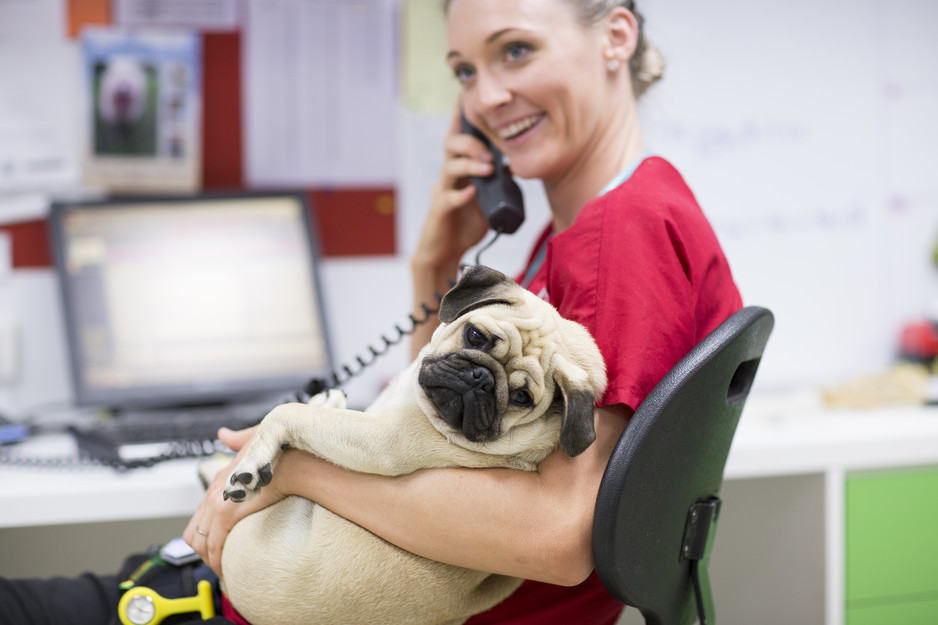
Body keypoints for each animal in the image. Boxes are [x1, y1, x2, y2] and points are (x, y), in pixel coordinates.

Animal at [219, 266, 608, 624]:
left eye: (522, 398)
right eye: (475, 336)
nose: (480, 377)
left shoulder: (382, 438)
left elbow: (285, 412)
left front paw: (248, 466)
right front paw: (324, 399)